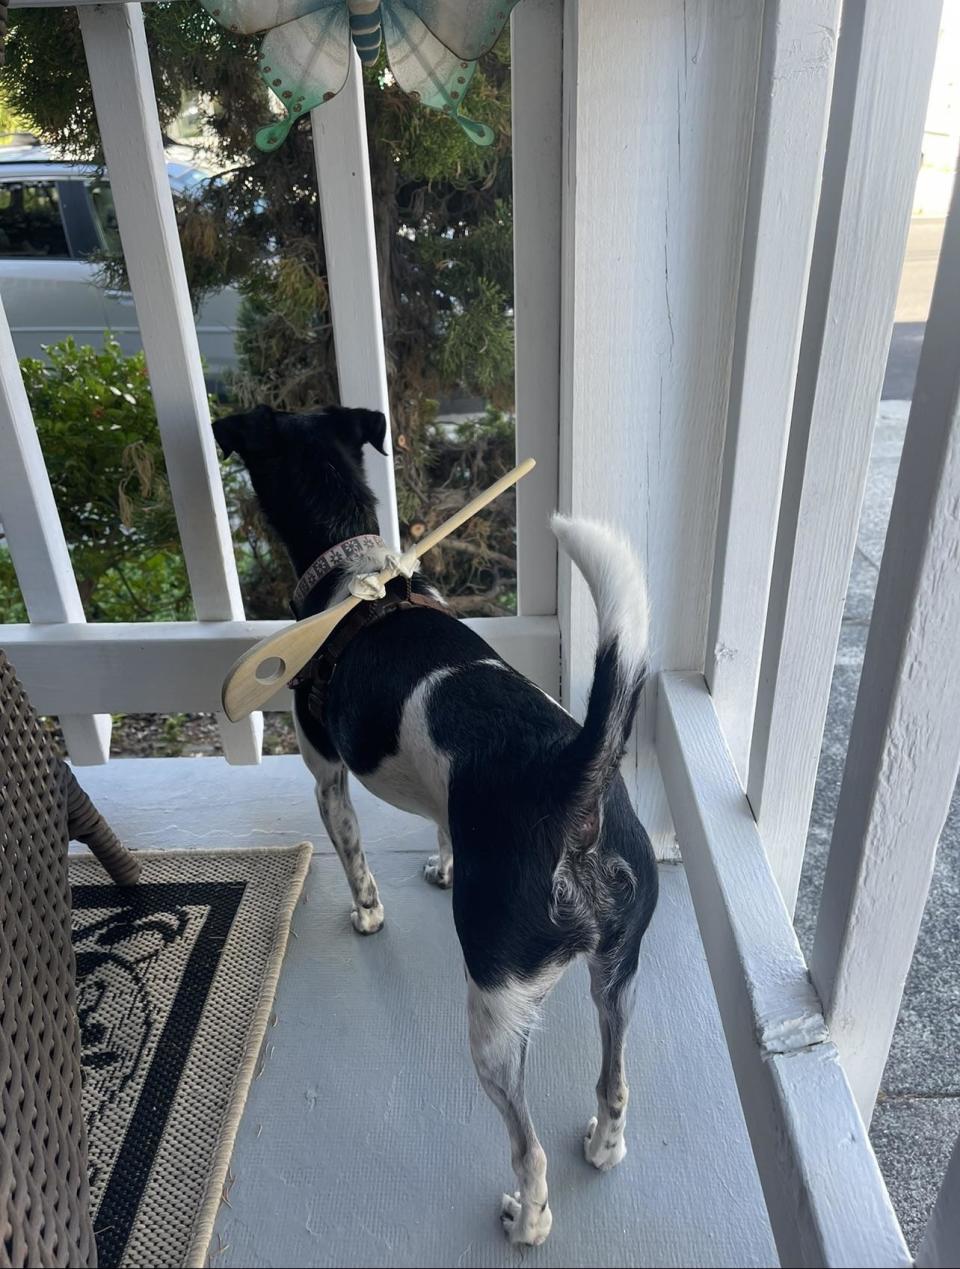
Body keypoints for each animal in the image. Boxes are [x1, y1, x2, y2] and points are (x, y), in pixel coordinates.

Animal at [213, 408, 654, 1248]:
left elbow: (353, 859)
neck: (358, 573)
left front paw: (367, 914)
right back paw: (605, 1145)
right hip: (616, 973)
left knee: (527, 1149)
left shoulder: (325, 775)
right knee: (615, 1082)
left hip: (493, 1018)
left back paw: (527, 1221)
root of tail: (571, 789)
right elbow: (442, 825)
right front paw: (444, 863)